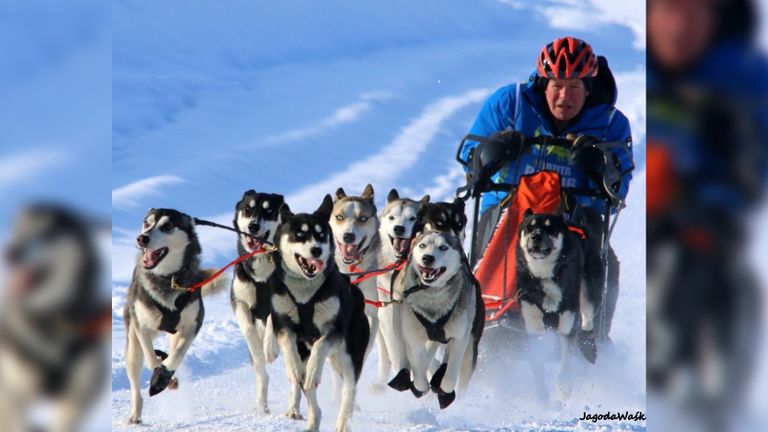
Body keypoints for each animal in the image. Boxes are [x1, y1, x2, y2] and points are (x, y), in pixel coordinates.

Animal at [124, 209, 228, 426]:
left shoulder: (192, 325)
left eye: (167, 226)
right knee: (136, 375)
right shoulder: (141, 325)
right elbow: (151, 359)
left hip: (175, 333)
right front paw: (159, 375)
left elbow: (177, 355)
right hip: (132, 346)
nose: (142, 238)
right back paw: (136, 413)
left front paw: (164, 376)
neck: (168, 279)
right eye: (146, 223)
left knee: (172, 351)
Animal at [268, 197, 368, 432]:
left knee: (348, 389)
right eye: (300, 235)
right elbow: (288, 345)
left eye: (321, 235)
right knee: (307, 386)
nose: (316, 250)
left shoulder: (334, 330)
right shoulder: (283, 324)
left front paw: (314, 369)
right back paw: (313, 419)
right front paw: (293, 367)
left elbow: (321, 345)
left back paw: (343, 423)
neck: (304, 293)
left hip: (350, 355)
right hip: (311, 352)